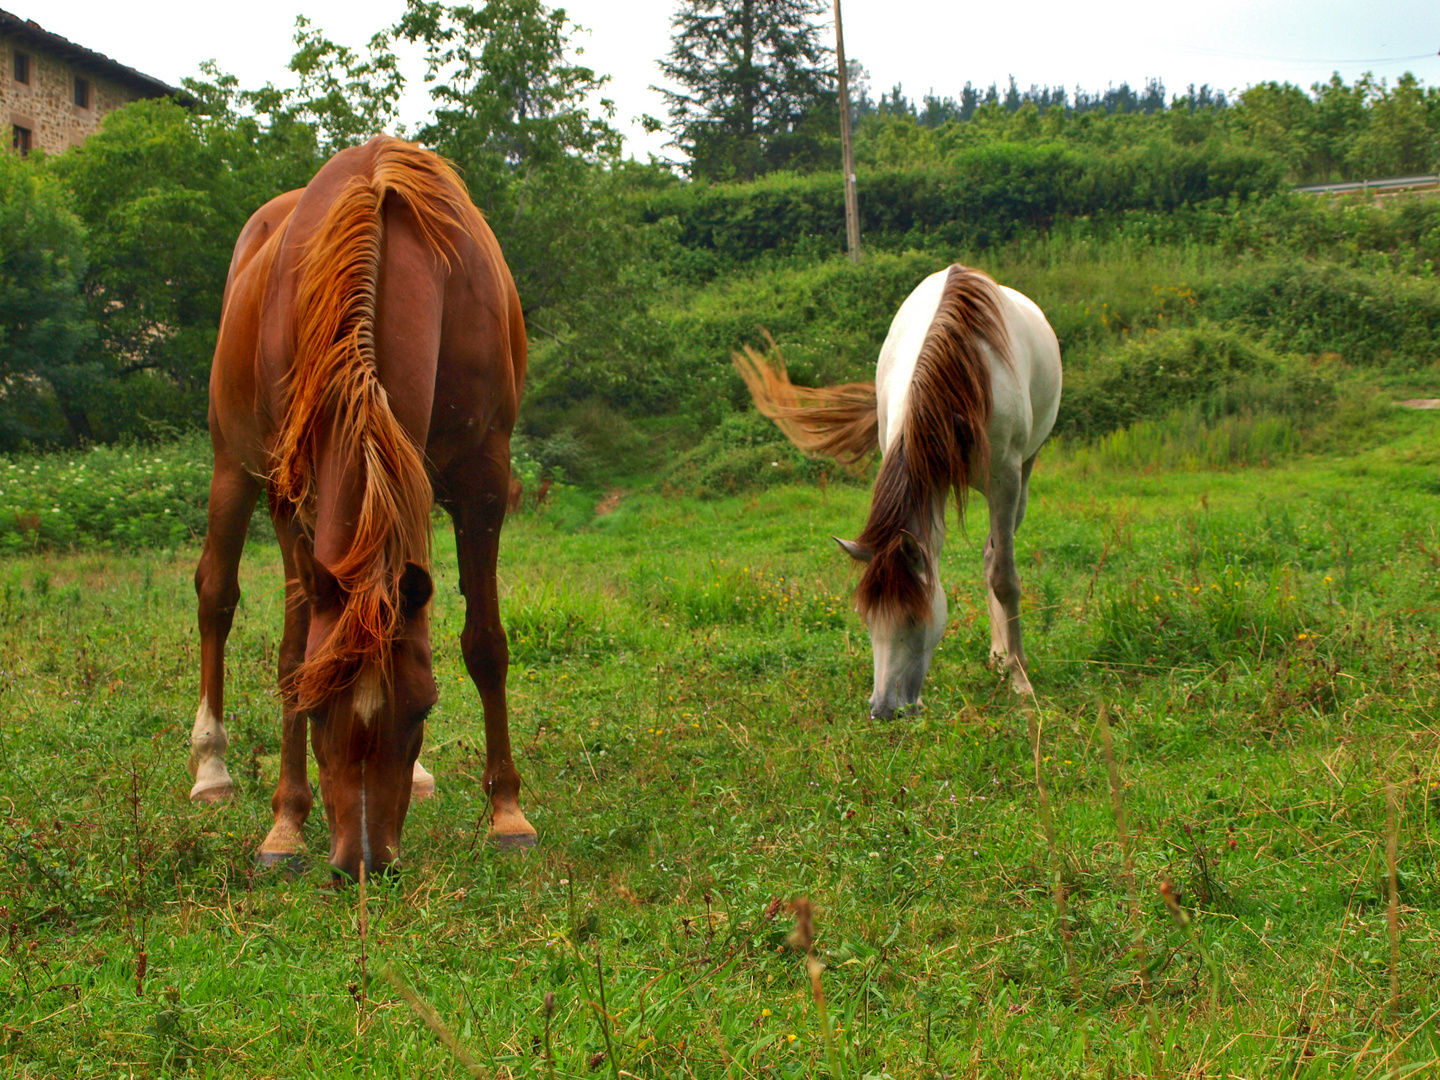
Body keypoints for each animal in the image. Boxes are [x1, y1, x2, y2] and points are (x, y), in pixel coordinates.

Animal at [185, 135, 535, 881]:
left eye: (424, 709)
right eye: (317, 712)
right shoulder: (291, 493)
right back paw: (211, 770)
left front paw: (507, 814)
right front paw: (285, 826)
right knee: (215, 595)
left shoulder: (483, 480)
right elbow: (294, 653)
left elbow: (483, 642)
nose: (364, 860)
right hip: (232, 464)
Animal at [737, 264, 1065, 720]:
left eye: (912, 618)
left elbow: (1004, 578)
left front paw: (1020, 681)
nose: (883, 708)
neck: (960, 375)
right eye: (867, 618)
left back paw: (1004, 659)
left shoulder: (1005, 478)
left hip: (1023, 478)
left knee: (994, 557)